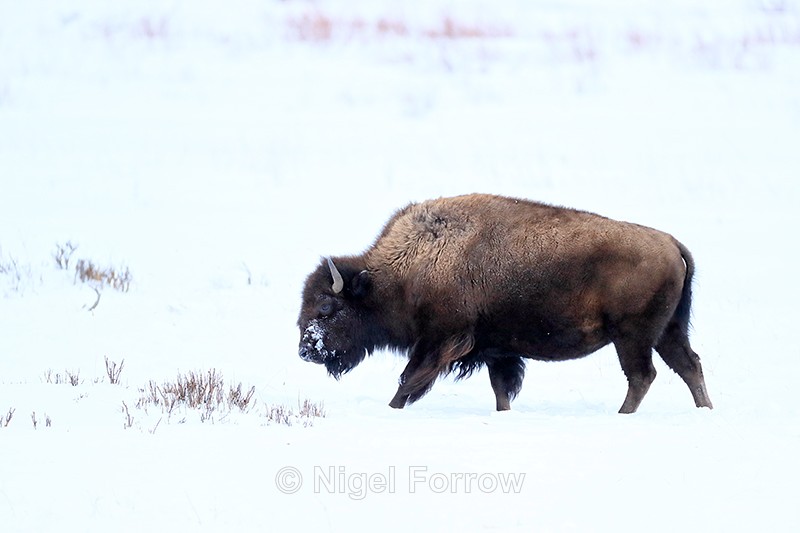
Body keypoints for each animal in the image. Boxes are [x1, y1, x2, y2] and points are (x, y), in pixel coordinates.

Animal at [297, 194, 713, 413]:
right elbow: (501, 388)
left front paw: (392, 408)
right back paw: (704, 409)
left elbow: (409, 379)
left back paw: (622, 415)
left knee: (643, 375)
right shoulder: (497, 350)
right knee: (688, 365)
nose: (305, 350)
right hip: (668, 331)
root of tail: (671, 244)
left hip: (632, 337)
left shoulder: (440, 340)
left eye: (327, 308)